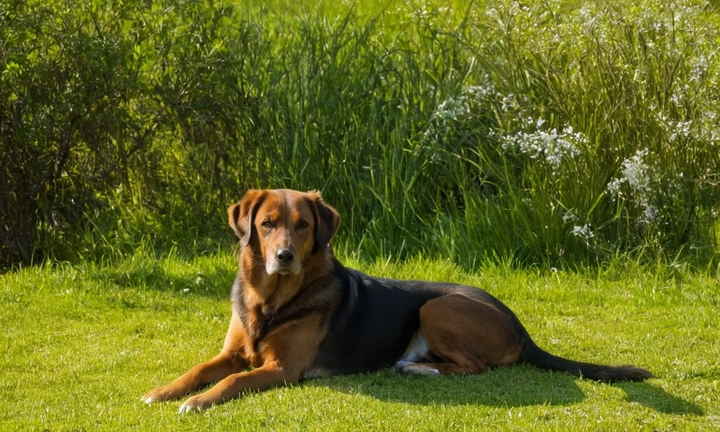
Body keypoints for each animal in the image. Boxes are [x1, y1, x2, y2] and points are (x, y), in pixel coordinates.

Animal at [142, 188, 652, 412]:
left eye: (302, 225)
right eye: (266, 224)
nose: (284, 256)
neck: (273, 298)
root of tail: (522, 328)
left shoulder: (283, 369)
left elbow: (233, 381)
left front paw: (198, 402)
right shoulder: (233, 351)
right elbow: (198, 370)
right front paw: (163, 391)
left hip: (437, 306)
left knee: (474, 367)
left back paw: (417, 368)